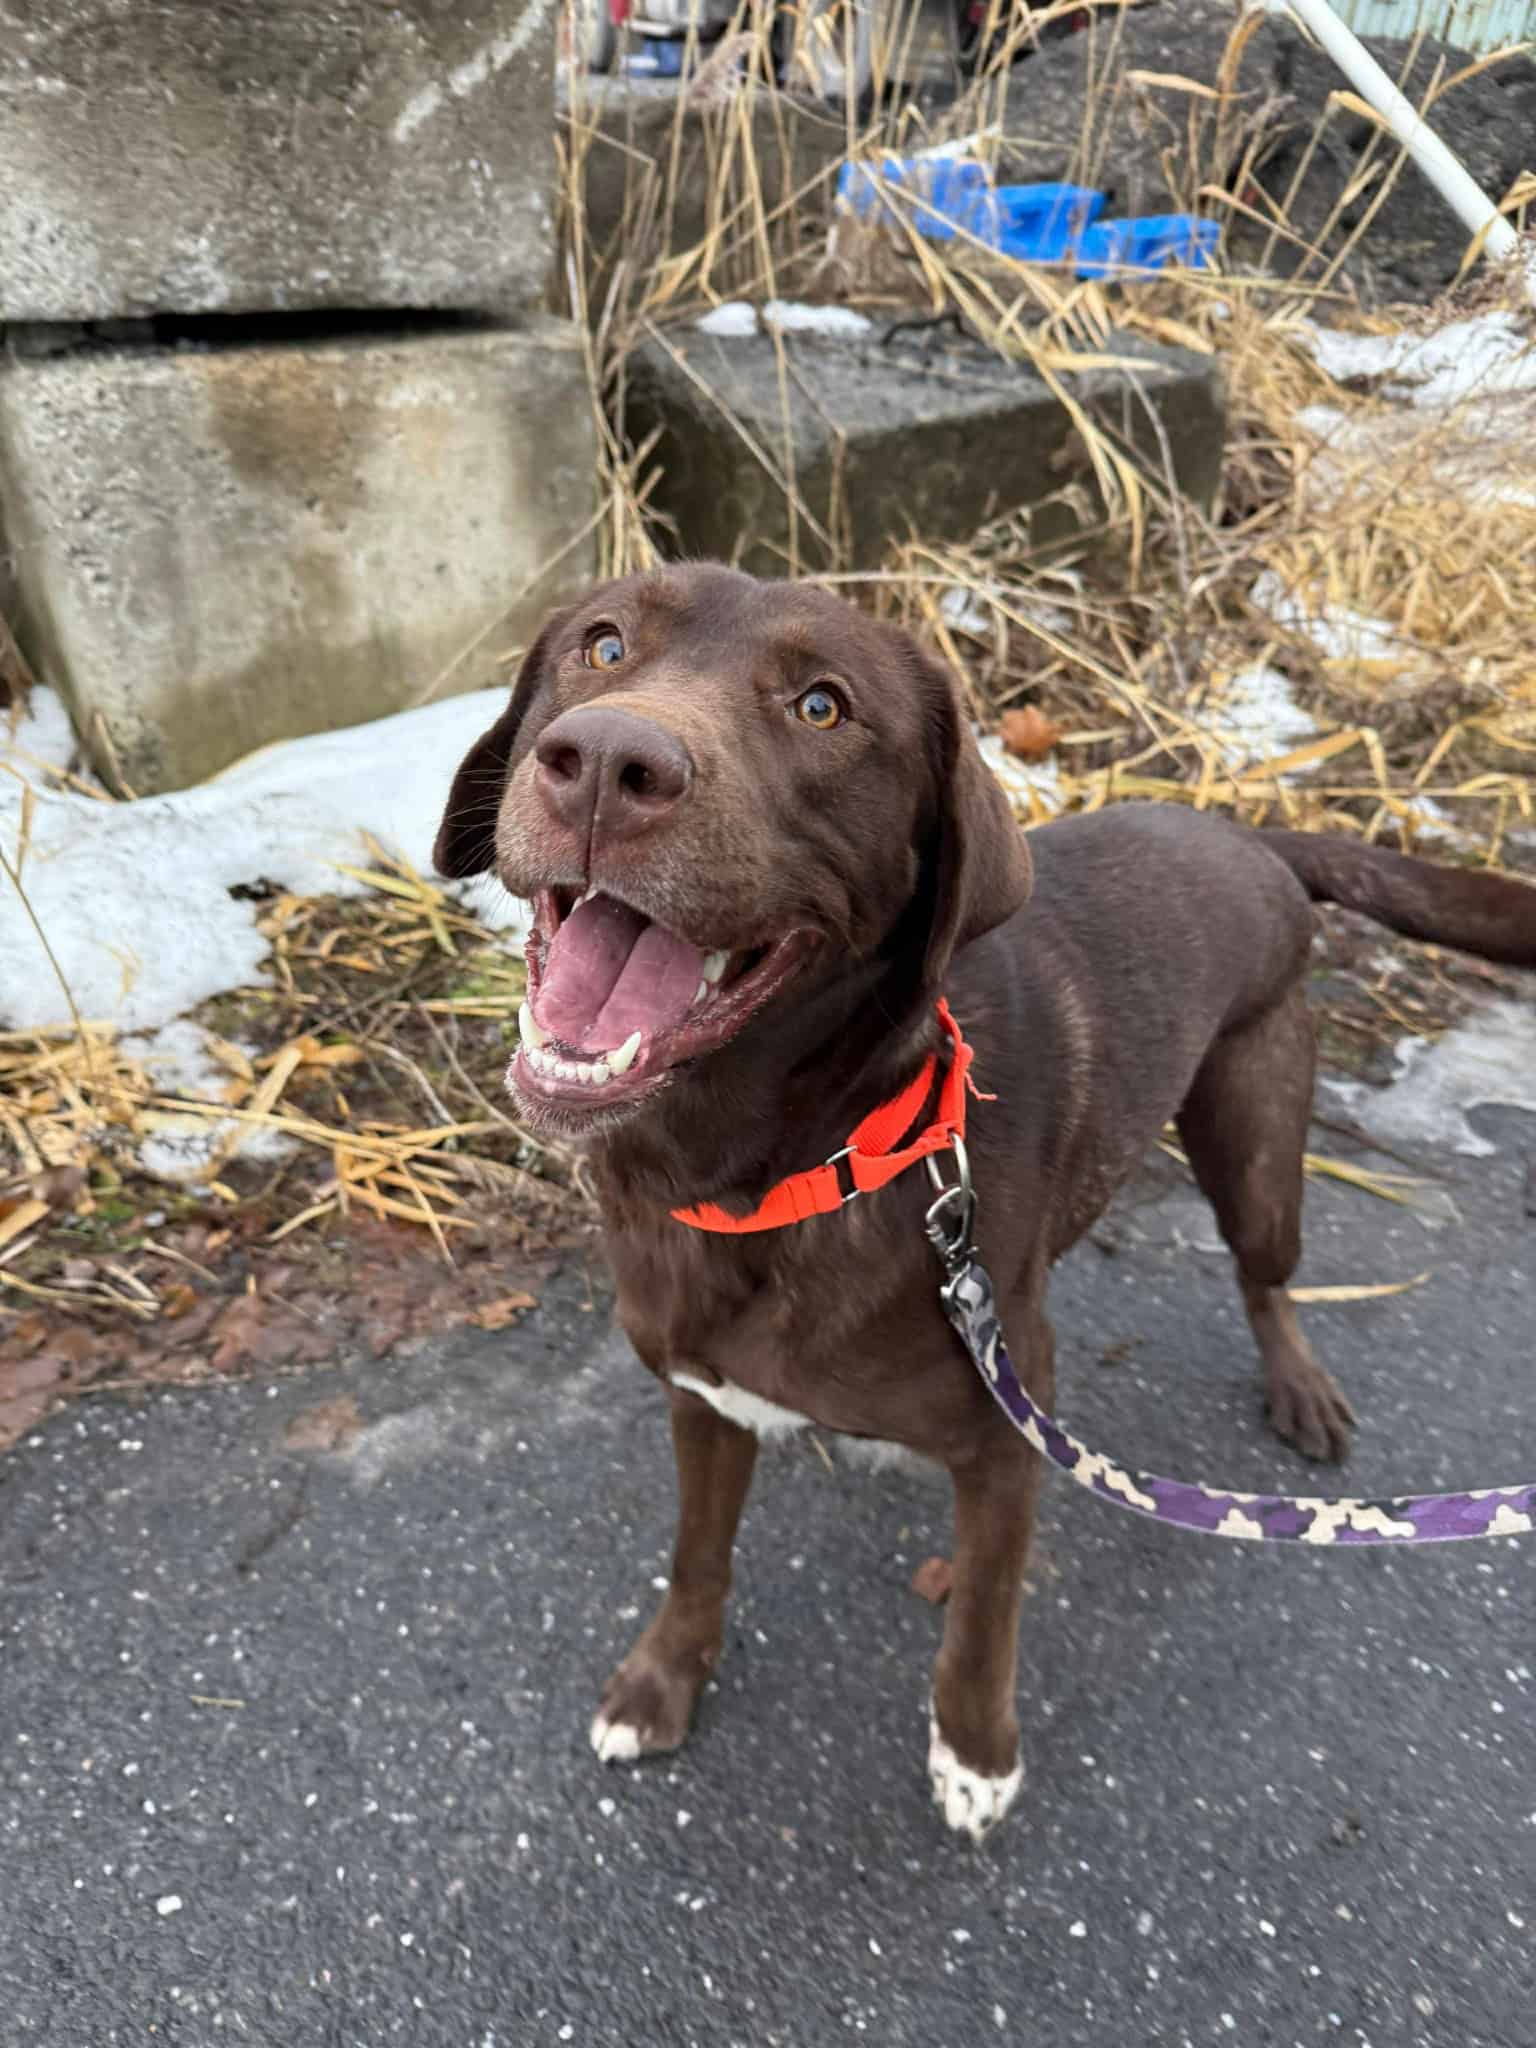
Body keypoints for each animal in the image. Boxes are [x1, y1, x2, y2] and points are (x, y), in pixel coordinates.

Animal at [435, 563, 1536, 1841]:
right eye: (603, 644)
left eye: (823, 706)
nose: (609, 760)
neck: (791, 1166)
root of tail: (1247, 830)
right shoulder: (703, 1401)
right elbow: (696, 1557)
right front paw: (662, 1680)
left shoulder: (1009, 1432)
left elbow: (982, 1618)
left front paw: (974, 1751)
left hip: (1259, 1134)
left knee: (1266, 1273)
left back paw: (1298, 1385)